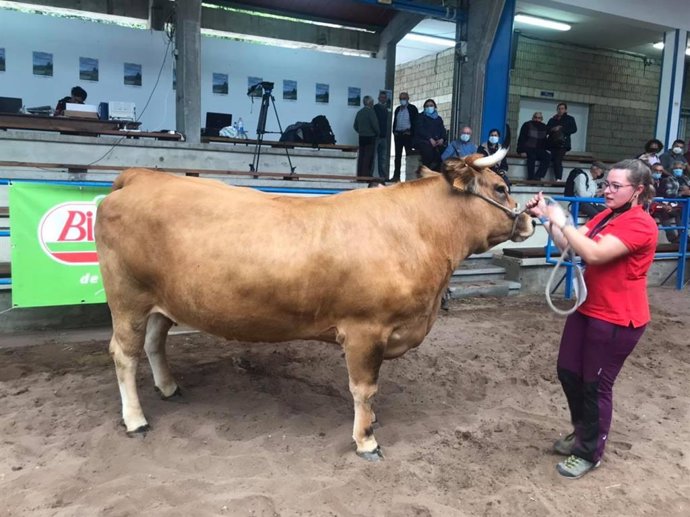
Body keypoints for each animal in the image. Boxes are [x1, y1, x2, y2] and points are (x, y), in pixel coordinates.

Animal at [94, 148, 535, 460]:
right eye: (500, 189)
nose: (531, 219)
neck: (417, 231)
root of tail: (141, 177)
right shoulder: (365, 330)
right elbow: (364, 388)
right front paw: (366, 440)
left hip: (160, 301)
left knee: (154, 342)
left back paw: (169, 388)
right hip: (127, 298)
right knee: (124, 354)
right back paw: (136, 420)